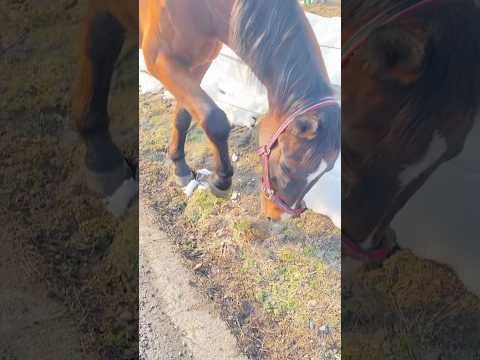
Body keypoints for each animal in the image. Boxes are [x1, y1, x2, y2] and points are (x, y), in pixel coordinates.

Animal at [139, 0, 342, 219]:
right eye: (286, 166)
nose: (278, 216)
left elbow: (183, 117)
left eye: (326, 171)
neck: (202, 8)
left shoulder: (199, 63)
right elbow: (214, 119)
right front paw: (221, 181)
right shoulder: (158, 60)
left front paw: (180, 168)